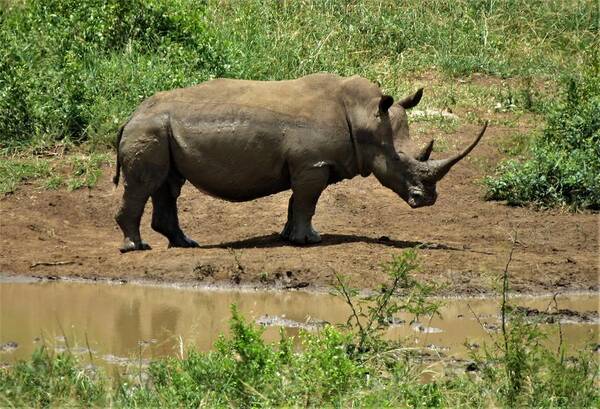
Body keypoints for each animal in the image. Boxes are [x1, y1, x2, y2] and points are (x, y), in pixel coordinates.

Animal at [113, 73, 488, 252]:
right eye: (399, 159)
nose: (428, 200)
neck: (364, 115)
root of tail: (129, 116)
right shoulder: (313, 165)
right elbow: (307, 202)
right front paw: (311, 241)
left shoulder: (308, 165)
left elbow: (297, 202)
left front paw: (290, 237)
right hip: (149, 129)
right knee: (146, 183)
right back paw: (137, 247)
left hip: (159, 129)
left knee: (168, 183)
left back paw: (185, 243)